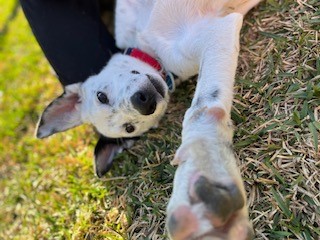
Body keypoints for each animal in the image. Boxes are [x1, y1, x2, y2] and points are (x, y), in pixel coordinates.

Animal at [35, 0, 260, 238]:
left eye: (101, 97)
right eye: (129, 128)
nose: (144, 102)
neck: (153, 52)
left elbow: (200, 110)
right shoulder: (214, 33)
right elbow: (201, 110)